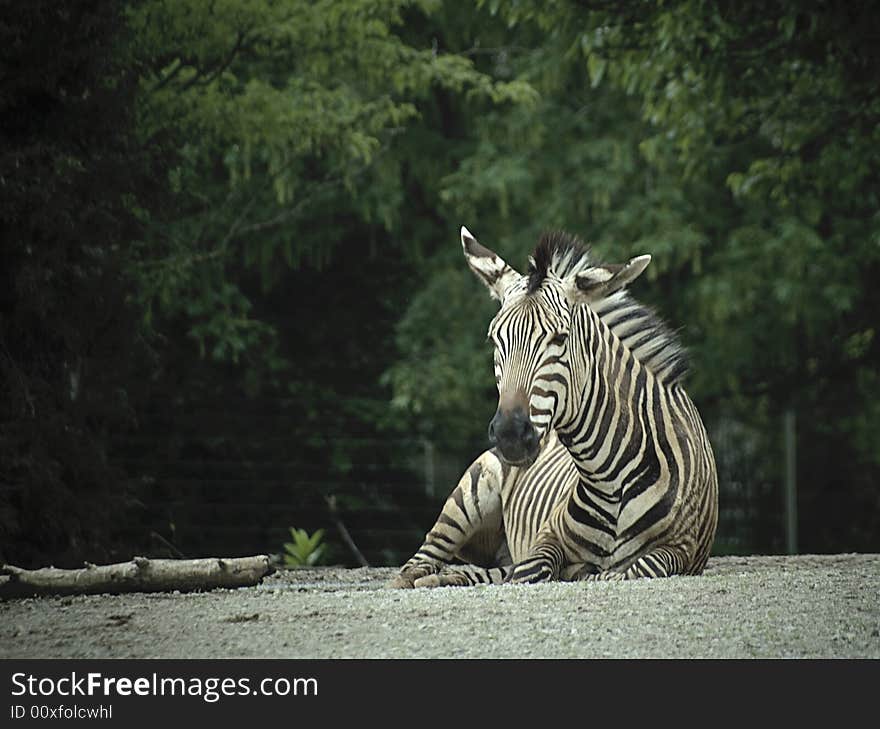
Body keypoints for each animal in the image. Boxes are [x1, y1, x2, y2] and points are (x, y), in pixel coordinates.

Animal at [392, 228, 716, 584]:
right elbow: (534, 569)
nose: (509, 435)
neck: (608, 479)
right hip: (468, 496)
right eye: (494, 339)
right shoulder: (546, 536)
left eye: (559, 339)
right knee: (415, 565)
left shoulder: (680, 550)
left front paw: (591, 574)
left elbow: (634, 569)